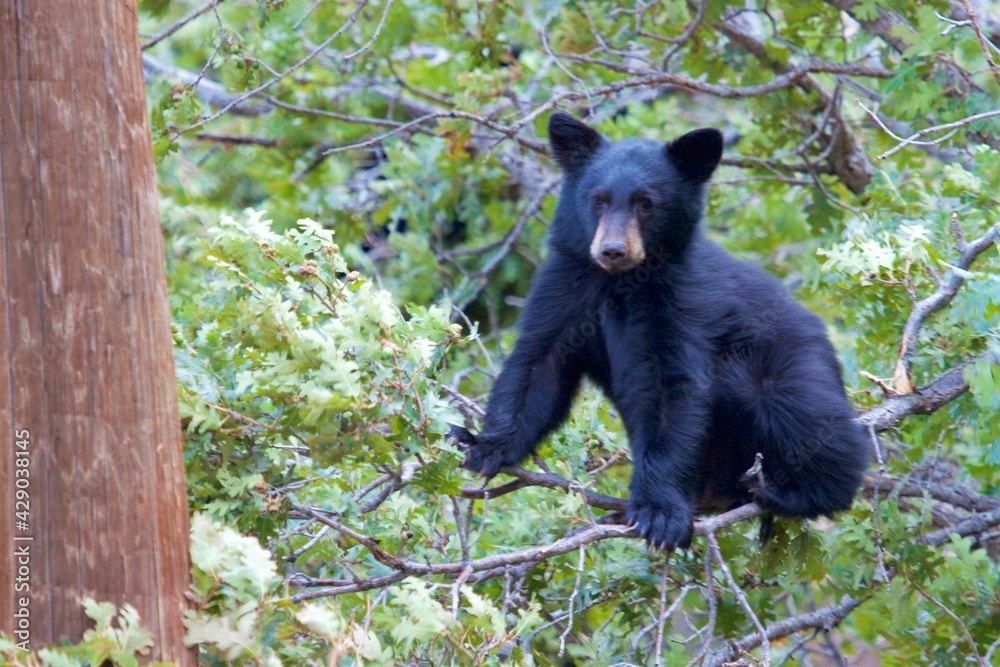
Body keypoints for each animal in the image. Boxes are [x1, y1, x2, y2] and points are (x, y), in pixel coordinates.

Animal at [449, 111, 870, 551]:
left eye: (647, 203)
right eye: (598, 199)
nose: (613, 250)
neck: (622, 283)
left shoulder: (680, 304)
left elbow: (670, 388)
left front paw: (659, 513)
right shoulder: (567, 285)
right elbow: (537, 364)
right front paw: (483, 445)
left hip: (788, 362)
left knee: (805, 417)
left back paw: (792, 492)